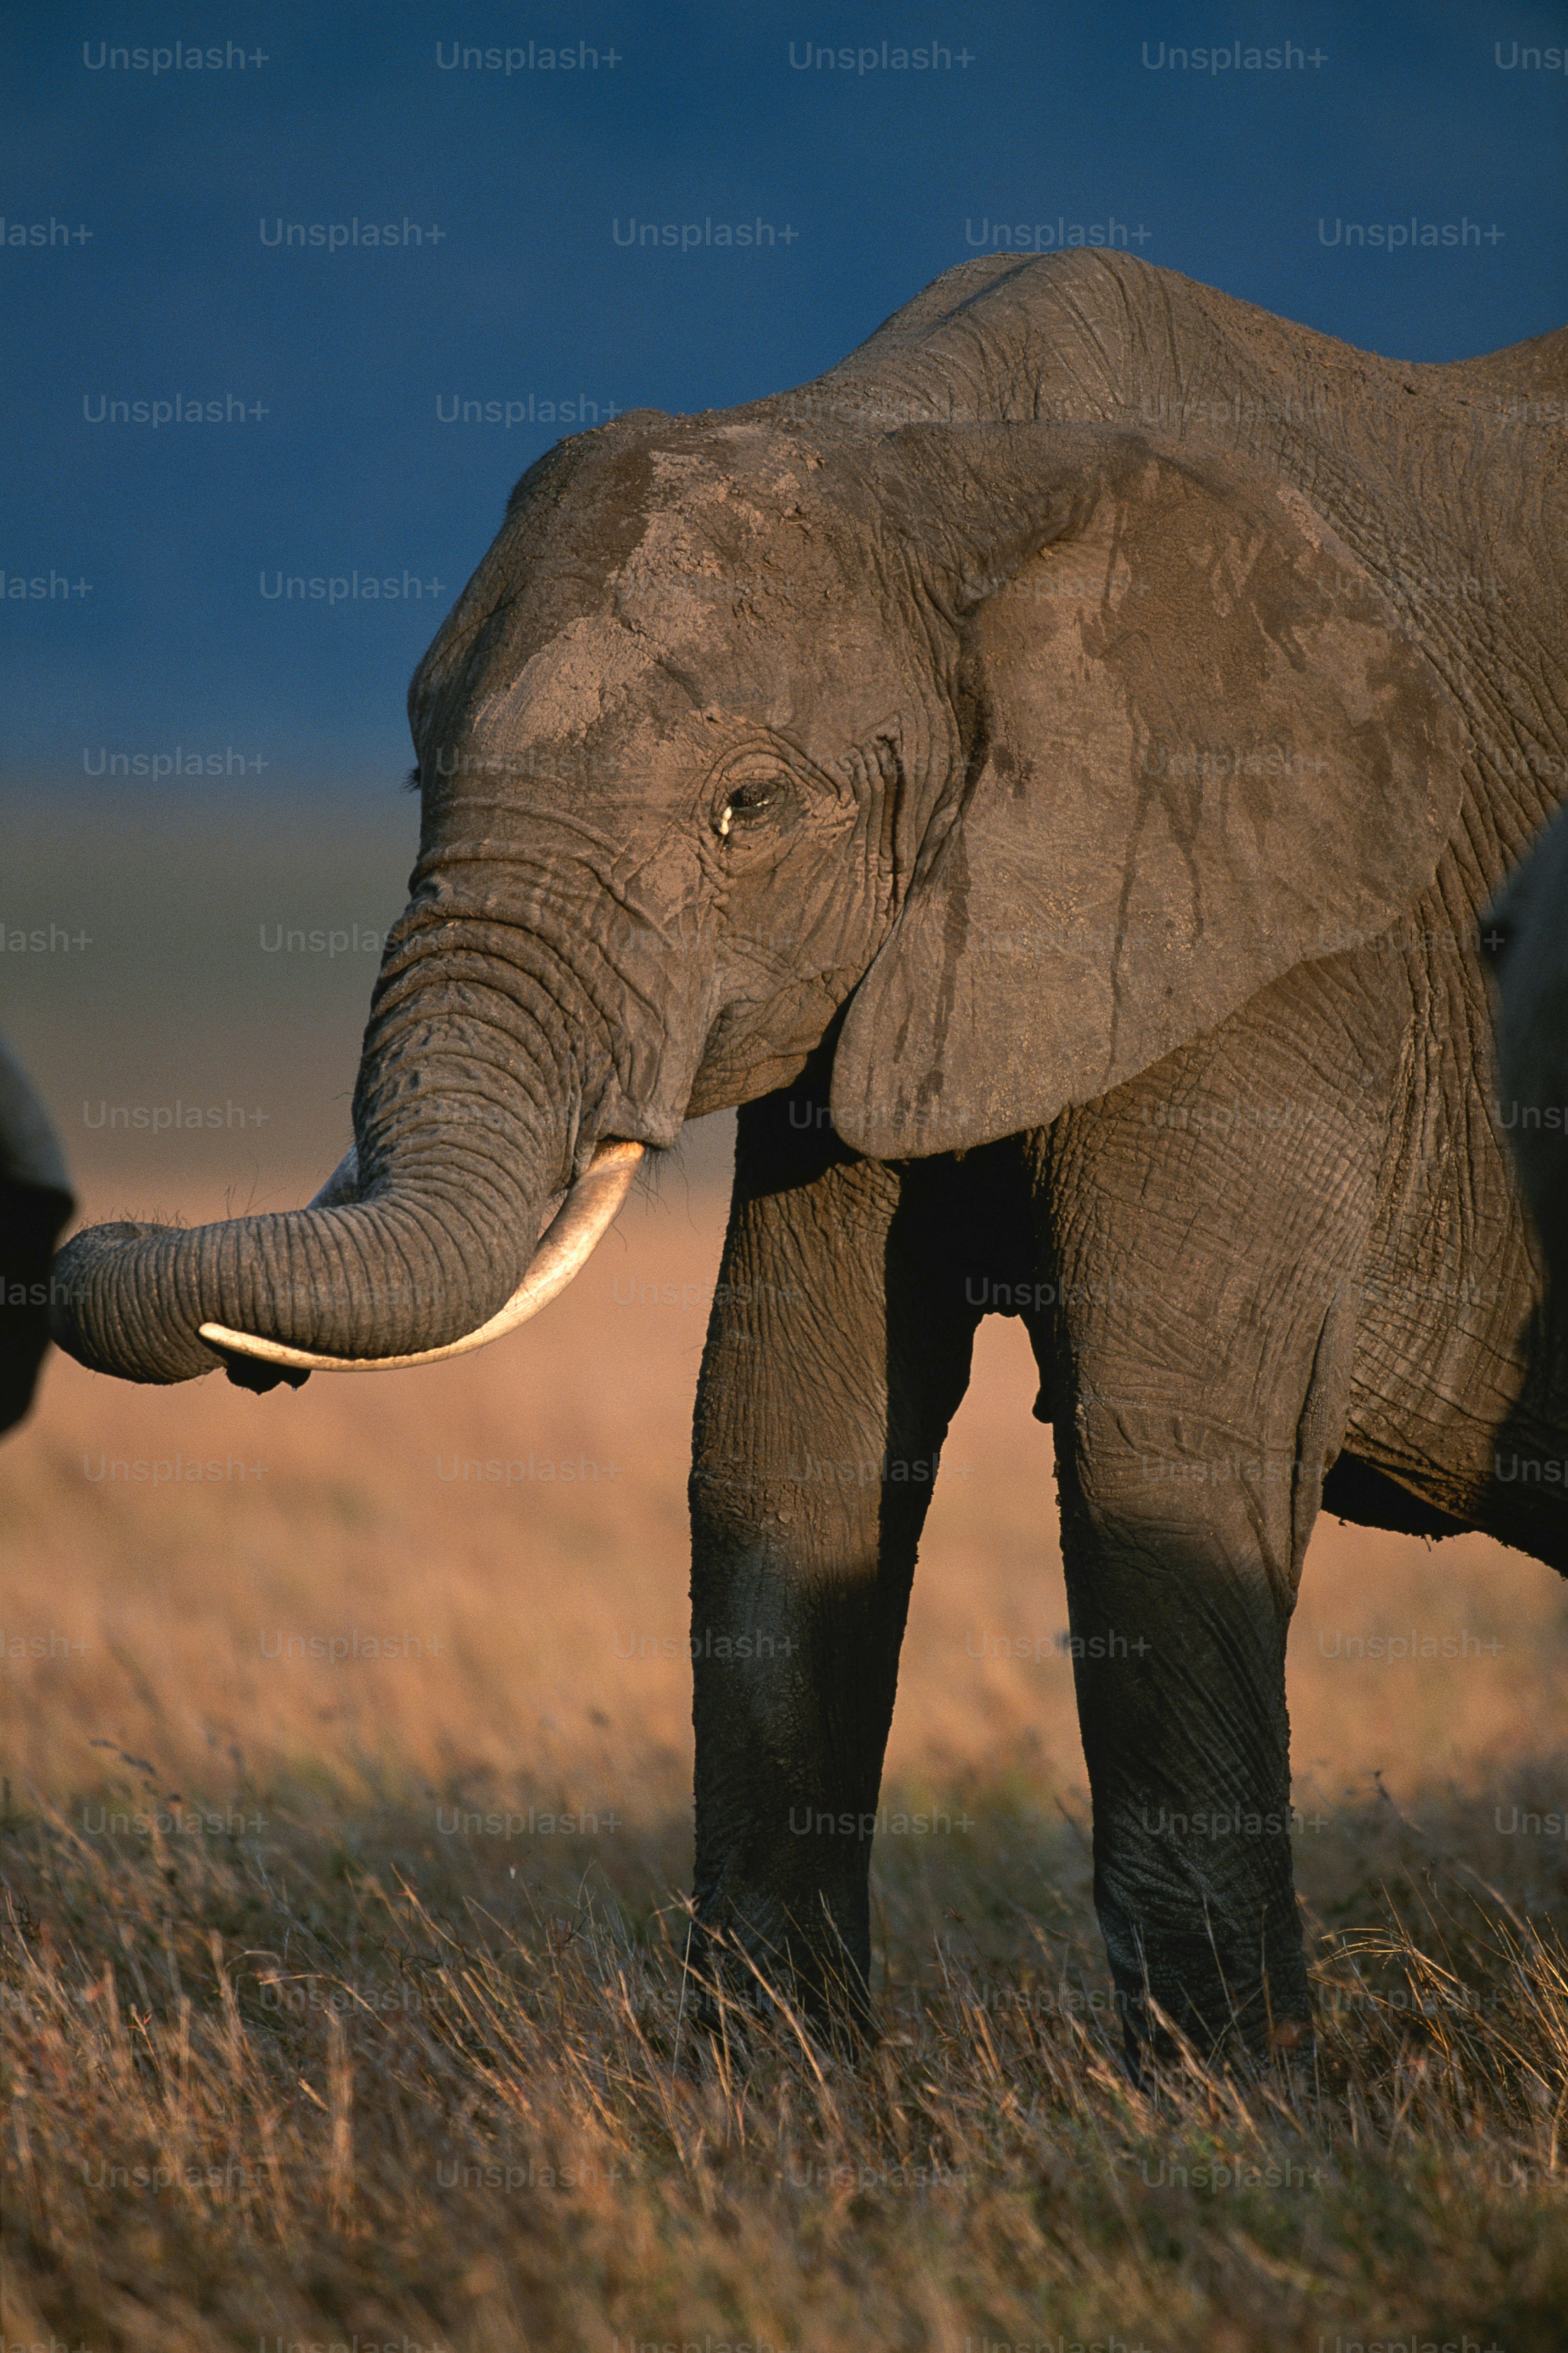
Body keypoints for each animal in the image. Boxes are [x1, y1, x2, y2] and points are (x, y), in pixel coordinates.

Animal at [52, 250, 1568, 2065]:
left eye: (749, 808)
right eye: (421, 771)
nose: (103, 1256)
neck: (940, 454)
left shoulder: (1288, 929)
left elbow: (1165, 1450)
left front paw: (1232, 2100)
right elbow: (787, 1427)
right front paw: (772, 2089)